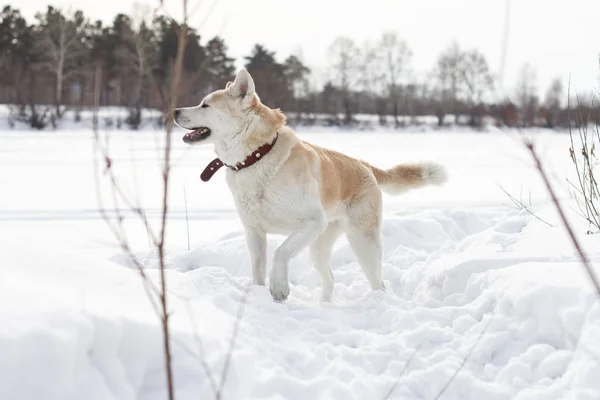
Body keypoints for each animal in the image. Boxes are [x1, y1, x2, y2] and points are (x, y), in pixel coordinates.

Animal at [173, 69, 446, 302]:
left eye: (205, 104)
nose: (174, 110)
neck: (258, 156)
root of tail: (364, 165)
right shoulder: (254, 232)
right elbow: (258, 270)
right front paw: (260, 294)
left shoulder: (311, 221)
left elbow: (280, 252)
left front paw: (279, 288)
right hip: (319, 245)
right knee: (330, 280)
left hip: (361, 242)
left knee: (378, 283)